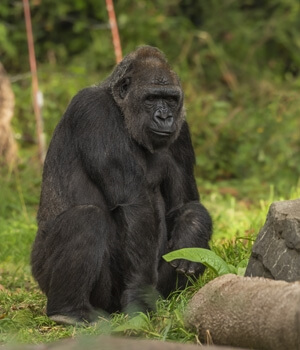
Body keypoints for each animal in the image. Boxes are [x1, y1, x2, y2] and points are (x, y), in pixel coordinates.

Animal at [31, 46, 212, 326]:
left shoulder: (182, 131)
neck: (121, 109)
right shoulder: (94, 111)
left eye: (171, 99)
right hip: (45, 273)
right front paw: (139, 295)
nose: (165, 116)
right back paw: (68, 310)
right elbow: (135, 204)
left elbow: (185, 204)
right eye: (151, 98)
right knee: (85, 219)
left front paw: (191, 233)